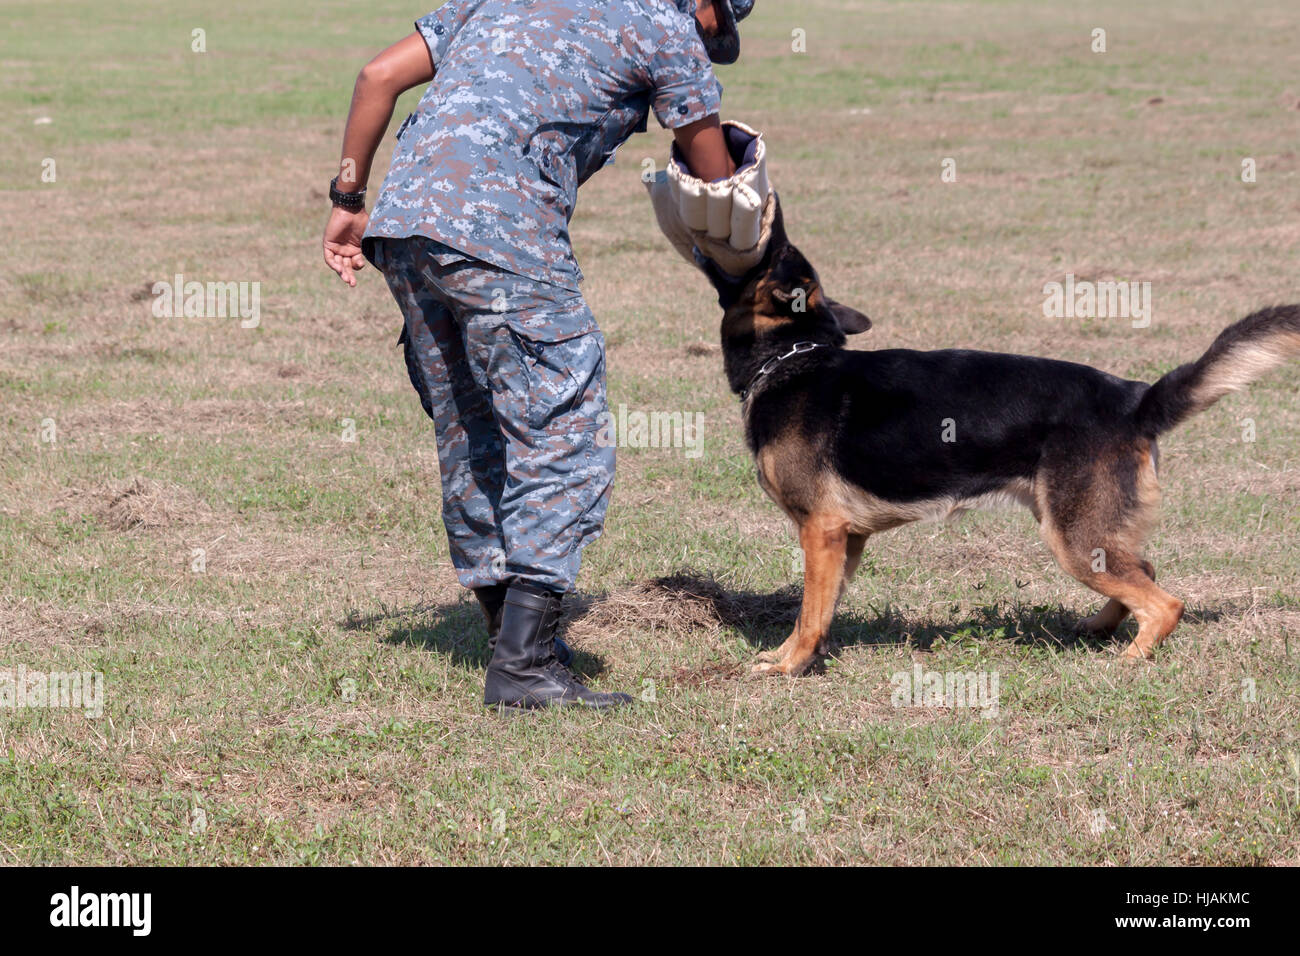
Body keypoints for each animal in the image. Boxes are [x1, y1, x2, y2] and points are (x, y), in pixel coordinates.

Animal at [707, 197, 1294, 676]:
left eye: (776, 250)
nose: (768, 207)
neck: (792, 355)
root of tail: (1135, 399)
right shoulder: (844, 540)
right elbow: (817, 611)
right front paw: (789, 657)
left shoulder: (822, 532)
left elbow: (809, 614)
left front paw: (789, 668)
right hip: (1088, 534)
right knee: (1143, 569)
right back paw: (1099, 629)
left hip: (1072, 540)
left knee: (1166, 602)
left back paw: (1128, 659)